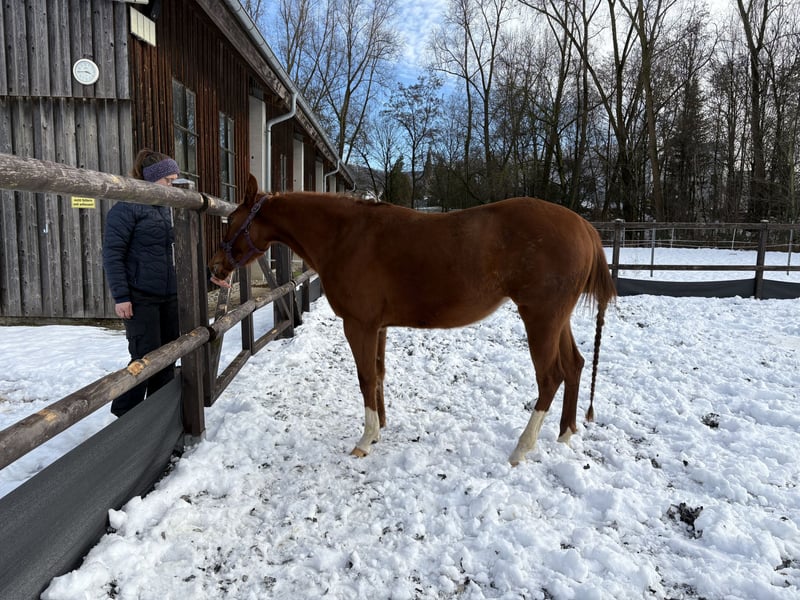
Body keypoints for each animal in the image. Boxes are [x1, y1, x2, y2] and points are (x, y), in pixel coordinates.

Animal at [209, 175, 616, 465]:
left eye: (231, 221)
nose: (215, 268)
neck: (345, 236)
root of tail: (585, 228)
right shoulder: (378, 327)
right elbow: (378, 374)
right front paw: (380, 430)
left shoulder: (359, 325)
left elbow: (365, 377)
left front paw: (365, 440)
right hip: (556, 319)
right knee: (575, 365)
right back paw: (565, 434)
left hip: (540, 318)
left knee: (551, 377)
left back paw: (521, 448)